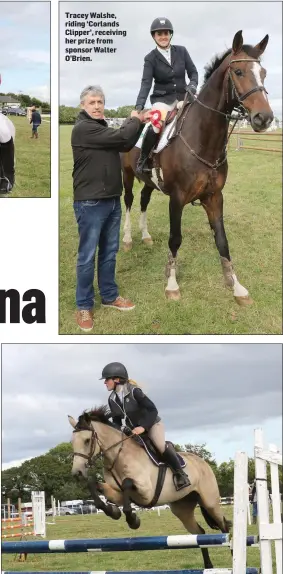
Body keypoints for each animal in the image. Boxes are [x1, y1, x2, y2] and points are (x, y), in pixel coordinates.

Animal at [69, 410, 233, 572]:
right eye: (73, 442)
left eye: (87, 440)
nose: (77, 473)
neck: (118, 457)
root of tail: (202, 462)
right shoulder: (117, 494)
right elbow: (93, 484)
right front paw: (113, 511)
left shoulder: (146, 493)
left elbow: (127, 483)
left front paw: (133, 520)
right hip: (182, 508)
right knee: (199, 534)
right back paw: (208, 566)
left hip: (210, 503)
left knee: (225, 527)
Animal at [121, 31, 274, 304]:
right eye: (239, 72)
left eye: (263, 72)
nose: (264, 118)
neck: (203, 140)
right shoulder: (177, 198)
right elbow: (175, 239)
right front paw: (172, 283)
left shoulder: (214, 197)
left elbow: (222, 240)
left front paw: (236, 285)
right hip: (127, 175)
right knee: (128, 201)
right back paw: (128, 239)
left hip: (150, 182)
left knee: (143, 200)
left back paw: (146, 236)